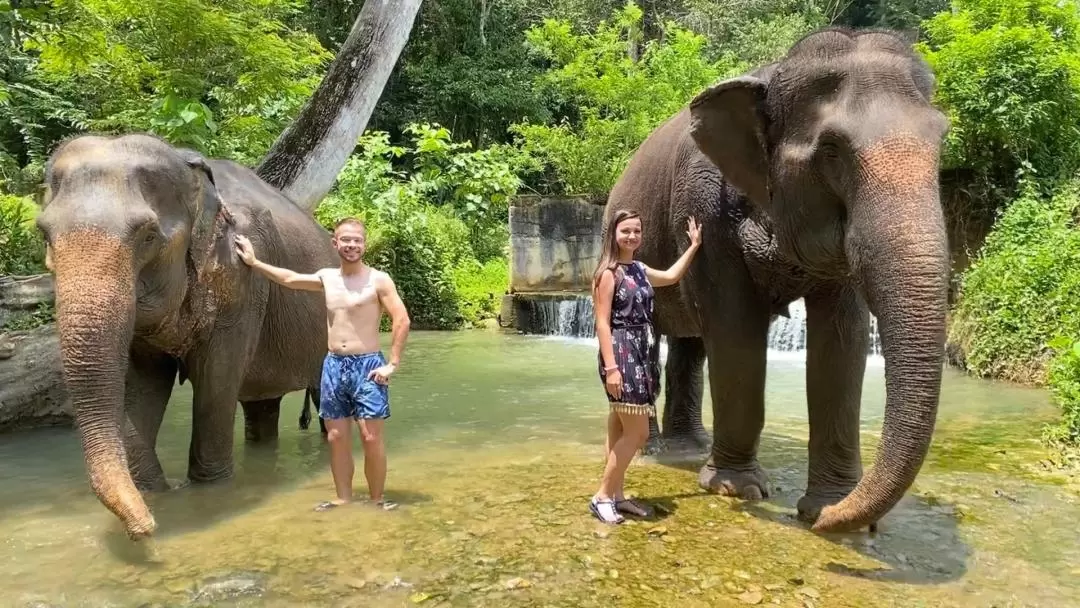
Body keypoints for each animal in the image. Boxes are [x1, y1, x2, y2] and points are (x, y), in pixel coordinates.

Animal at [35, 132, 336, 537]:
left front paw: (208, 489)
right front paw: (153, 490)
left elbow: (216, 380)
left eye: (148, 235)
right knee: (261, 406)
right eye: (44, 234)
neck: (188, 165)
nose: (147, 529)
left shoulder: (240, 287)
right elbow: (143, 385)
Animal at [609, 28, 954, 533]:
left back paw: (689, 447)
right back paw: (653, 448)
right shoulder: (705, 207)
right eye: (831, 150)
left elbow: (843, 340)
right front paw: (737, 489)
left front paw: (829, 504)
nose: (831, 521)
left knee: (691, 343)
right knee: (655, 340)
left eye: (942, 139)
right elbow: (736, 329)